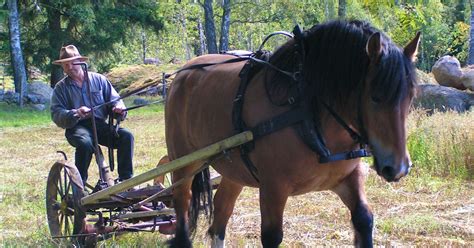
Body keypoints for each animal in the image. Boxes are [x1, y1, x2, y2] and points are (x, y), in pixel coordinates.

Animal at [163, 19, 418, 248]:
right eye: (375, 97)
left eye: (411, 96)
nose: (398, 168)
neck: (308, 114)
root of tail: (183, 74)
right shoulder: (273, 188)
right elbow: (272, 236)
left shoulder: (347, 178)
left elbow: (364, 219)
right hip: (183, 162)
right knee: (182, 201)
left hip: (234, 170)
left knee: (222, 209)